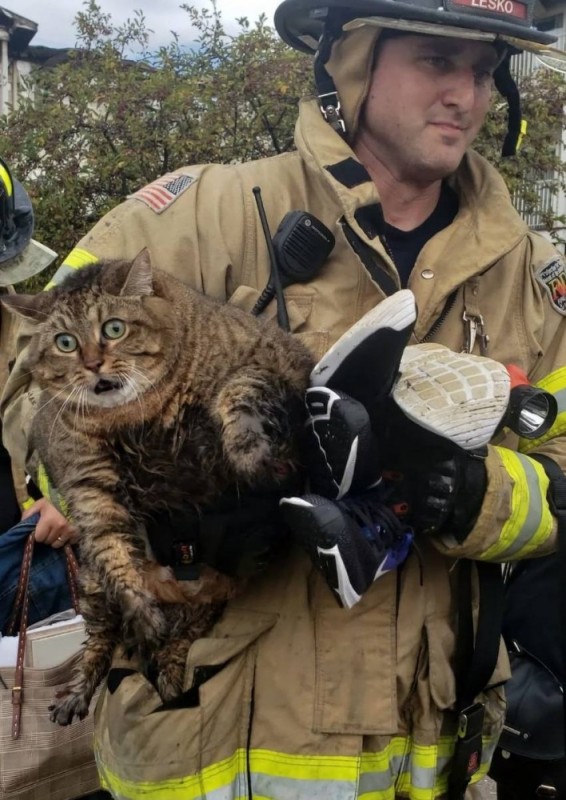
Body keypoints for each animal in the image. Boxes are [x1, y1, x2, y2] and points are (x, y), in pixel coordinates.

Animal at [2, 250, 312, 724]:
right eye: (65, 343)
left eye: (114, 328)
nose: (92, 364)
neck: (135, 413)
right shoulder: (87, 480)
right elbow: (113, 551)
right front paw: (140, 608)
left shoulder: (270, 360)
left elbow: (238, 392)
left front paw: (249, 452)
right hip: (91, 589)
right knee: (101, 643)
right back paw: (80, 691)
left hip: (213, 595)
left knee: (183, 639)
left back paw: (169, 670)